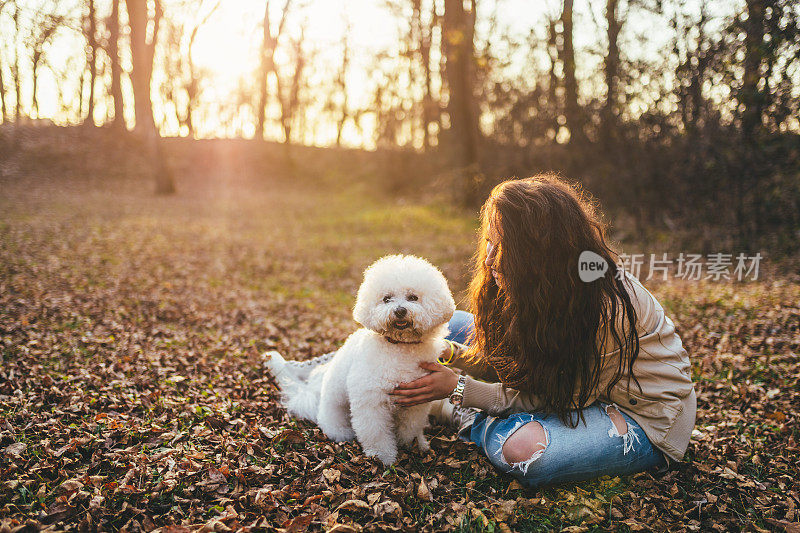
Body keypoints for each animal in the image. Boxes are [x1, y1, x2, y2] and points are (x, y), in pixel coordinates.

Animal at [268, 254, 456, 462]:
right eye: (386, 299)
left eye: (413, 297)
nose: (399, 310)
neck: (399, 347)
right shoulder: (371, 400)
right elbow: (376, 432)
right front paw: (383, 457)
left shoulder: (416, 401)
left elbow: (410, 426)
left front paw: (411, 444)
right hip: (335, 404)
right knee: (330, 421)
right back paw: (340, 432)